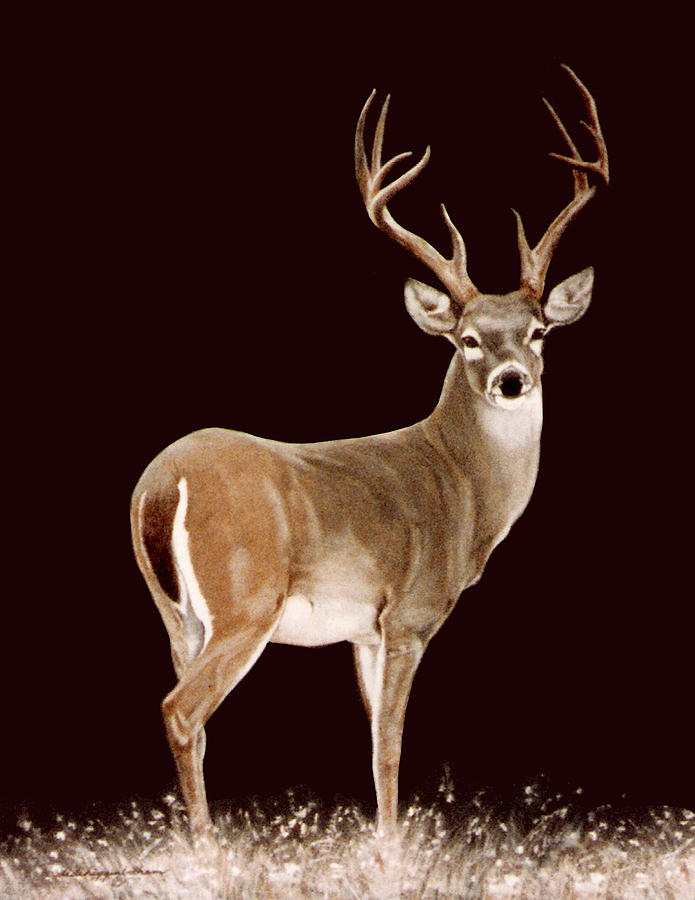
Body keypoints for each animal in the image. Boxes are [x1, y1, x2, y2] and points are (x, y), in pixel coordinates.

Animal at [130, 66, 608, 841]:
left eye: (538, 330)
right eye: (467, 338)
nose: (512, 380)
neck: (459, 486)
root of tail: (162, 484)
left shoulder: (362, 632)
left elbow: (370, 737)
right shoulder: (410, 612)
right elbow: (389, 744)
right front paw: (391, 848)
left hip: (177, 615)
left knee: (187, 712)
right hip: (246, 603)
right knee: (182, 710)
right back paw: (209, 850)